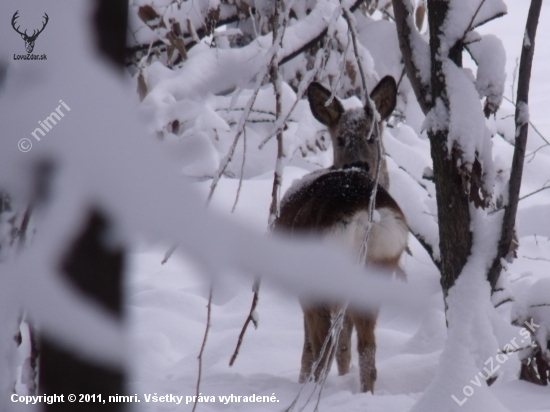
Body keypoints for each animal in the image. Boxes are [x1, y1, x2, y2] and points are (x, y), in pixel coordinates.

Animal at [274, 76, 410, 392]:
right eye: (340, 139)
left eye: (372, 138)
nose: (359, 164)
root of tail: (365, 216)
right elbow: (346, 344)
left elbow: (312, 347)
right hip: (377, 269)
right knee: (366, 349)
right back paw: (364, 392)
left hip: (320, 272)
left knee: (321, 347)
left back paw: (313, 389)